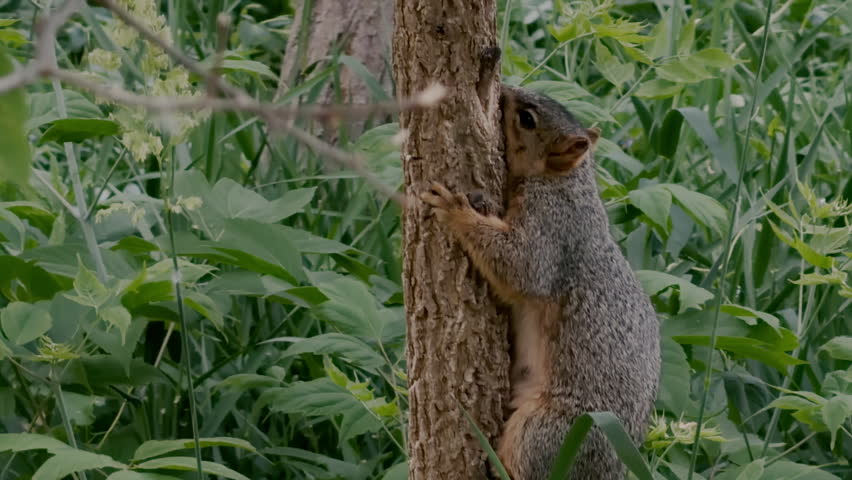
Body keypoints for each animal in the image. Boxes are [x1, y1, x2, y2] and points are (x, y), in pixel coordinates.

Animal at [421, 84, 660, 480]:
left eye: (527, 119)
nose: (504, 89)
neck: (564, 182)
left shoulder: (551, 226)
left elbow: (522, 268)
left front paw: (457, 211)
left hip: (548, 431)